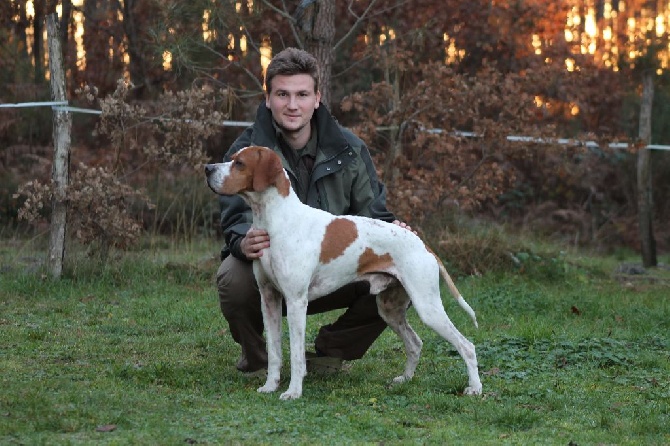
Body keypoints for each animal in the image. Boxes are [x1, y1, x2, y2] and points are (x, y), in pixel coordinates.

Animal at [206, 146, 484, 400]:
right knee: (415, 344)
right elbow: (275, 353)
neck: (275, 220)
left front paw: (293, 392)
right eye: (232, 158)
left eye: (239, 163)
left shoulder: (296, 302)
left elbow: (296, 355)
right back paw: (404, 380)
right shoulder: (269, 300)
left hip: (428, 308)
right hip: (389, 309)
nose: (208, 168)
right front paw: (270, 386)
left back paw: (475, 388)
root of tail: (422, 244)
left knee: (467, 346)